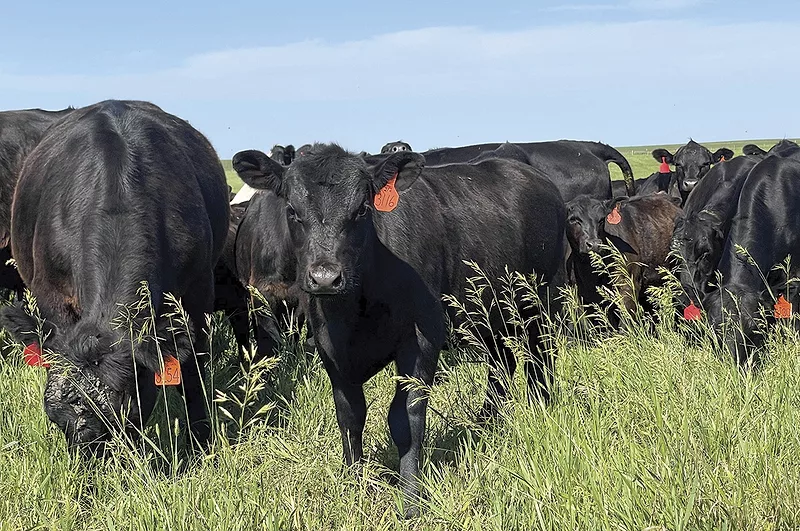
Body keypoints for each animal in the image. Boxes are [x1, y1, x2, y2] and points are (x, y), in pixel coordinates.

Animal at [232, 144, 566, 517]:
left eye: (362, 209)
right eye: (292, 210)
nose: (325, 277)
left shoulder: (422, 339)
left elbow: (406, 418)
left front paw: (411, 498)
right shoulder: (328, 348)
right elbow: (350, 416)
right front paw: (353, 484)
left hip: (542, 298)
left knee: (540, 355)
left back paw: (540, 406)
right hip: (490, 311)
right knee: (502, 362)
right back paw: (486, 420)